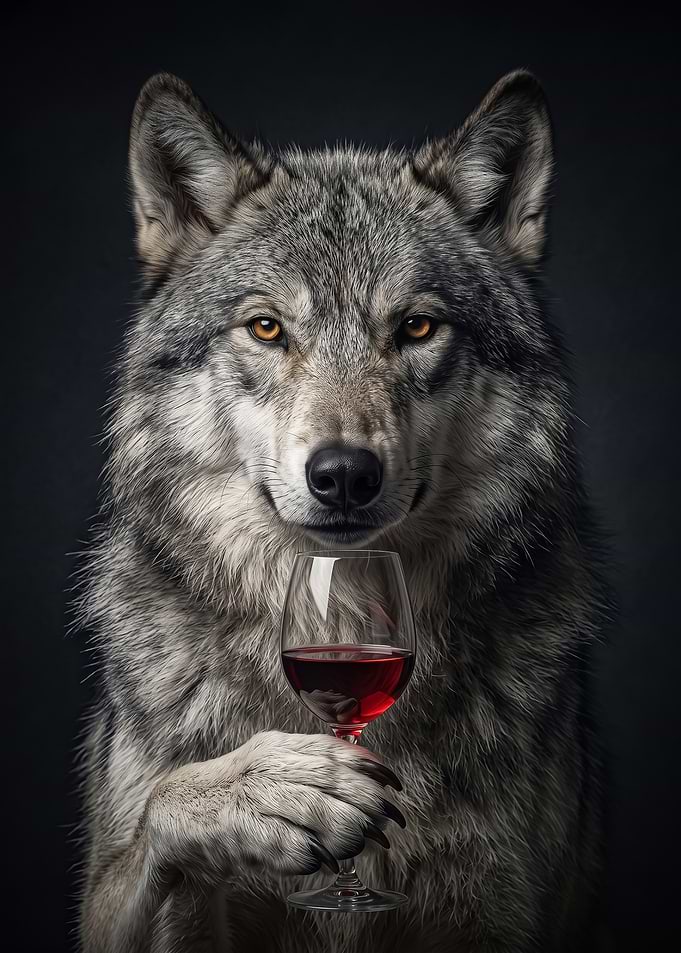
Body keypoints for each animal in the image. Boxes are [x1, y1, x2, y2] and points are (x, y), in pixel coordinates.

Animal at [77, 69, 605, 952]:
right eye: (266, 327)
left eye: (416, 326)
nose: (344, 474)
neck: (345, 611)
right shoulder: (131, 904)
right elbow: (166, 798)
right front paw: (272, 784)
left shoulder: (505, 909)